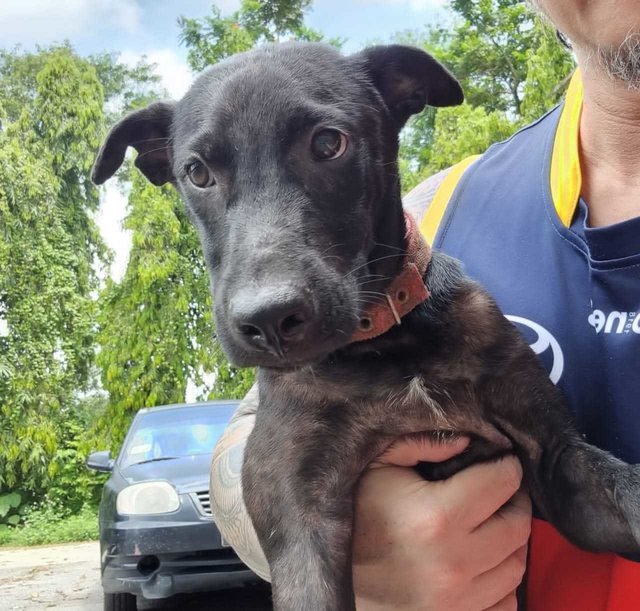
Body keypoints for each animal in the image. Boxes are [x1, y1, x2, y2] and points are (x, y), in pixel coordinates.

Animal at [92, 44, 636, 611]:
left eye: (328, 143)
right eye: (197, 173)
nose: (268, 321)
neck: (387, 342)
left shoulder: (559, 458)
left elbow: (629, 495)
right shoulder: (298, 516)